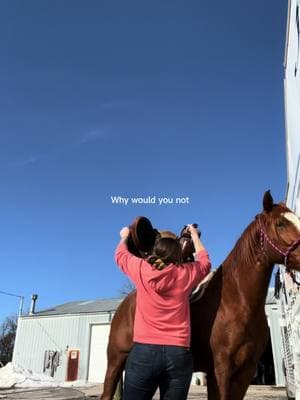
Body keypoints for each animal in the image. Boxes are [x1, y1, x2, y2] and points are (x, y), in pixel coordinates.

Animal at [101, 191, 300, 400]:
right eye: (281, 224)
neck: (237, 301)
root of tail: (123, 306)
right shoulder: (220, 371)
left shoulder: (245, 372)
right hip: (116, 361)